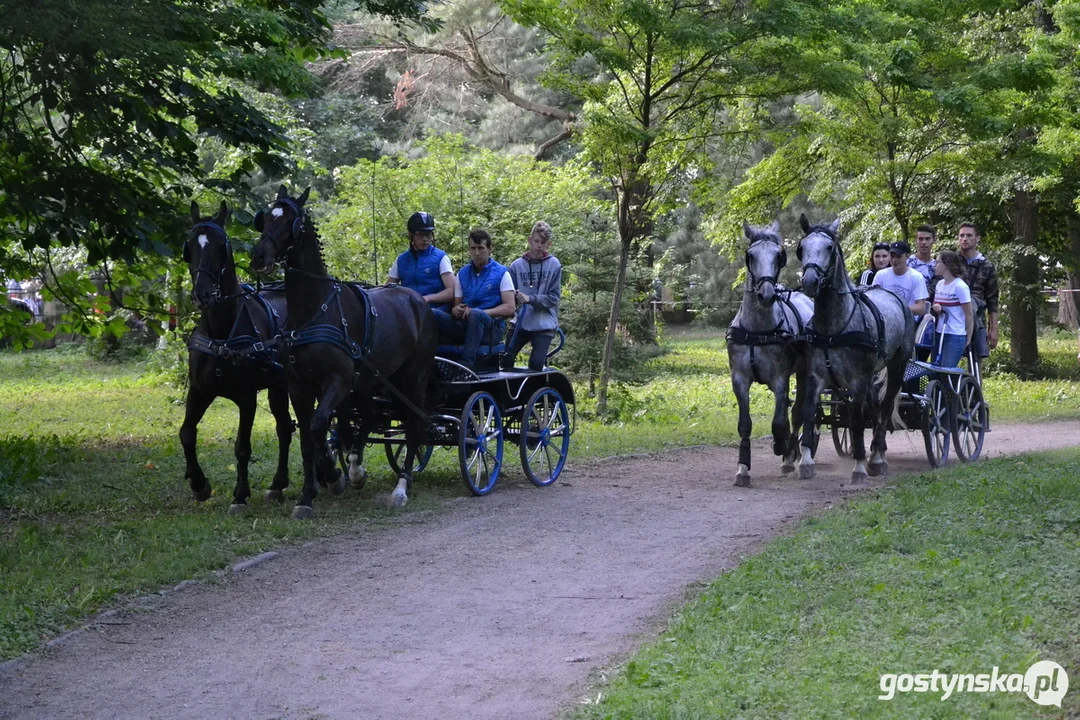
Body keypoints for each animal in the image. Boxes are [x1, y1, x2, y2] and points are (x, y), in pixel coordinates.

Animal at [180, 199, 293, 509]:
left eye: (222, 247)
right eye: (189, 247)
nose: (202, 294)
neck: (222, 332)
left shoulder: (247, 396)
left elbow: (242, 446)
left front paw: (240, 495)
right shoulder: (199, 390)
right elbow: (186, 433)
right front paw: (199, 484)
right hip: (278, 386)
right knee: (285, 428)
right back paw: (279, 484)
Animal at [725, 222, 812, 487]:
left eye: (778, 255)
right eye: (751, 256)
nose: (766, 294)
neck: (757, 331)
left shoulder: (781, 378)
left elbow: (780, 422)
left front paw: (783, 448)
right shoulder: (739, 379)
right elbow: (745, 424)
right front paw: (743, 469)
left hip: (805, 373)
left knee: (799, 413)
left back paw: (795, 456)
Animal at [794, 215, 911, 483]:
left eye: (829, 247)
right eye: (802, 247)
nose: (810, 282)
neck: (833, 328)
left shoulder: (857, 380)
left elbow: (857, 420)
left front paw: (859, 467)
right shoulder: (815, 376)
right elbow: (808, 412)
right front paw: (805, 462)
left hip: (897, 365)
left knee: (885, 408)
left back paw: (877, 457)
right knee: (875, 407)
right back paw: (876, 451)